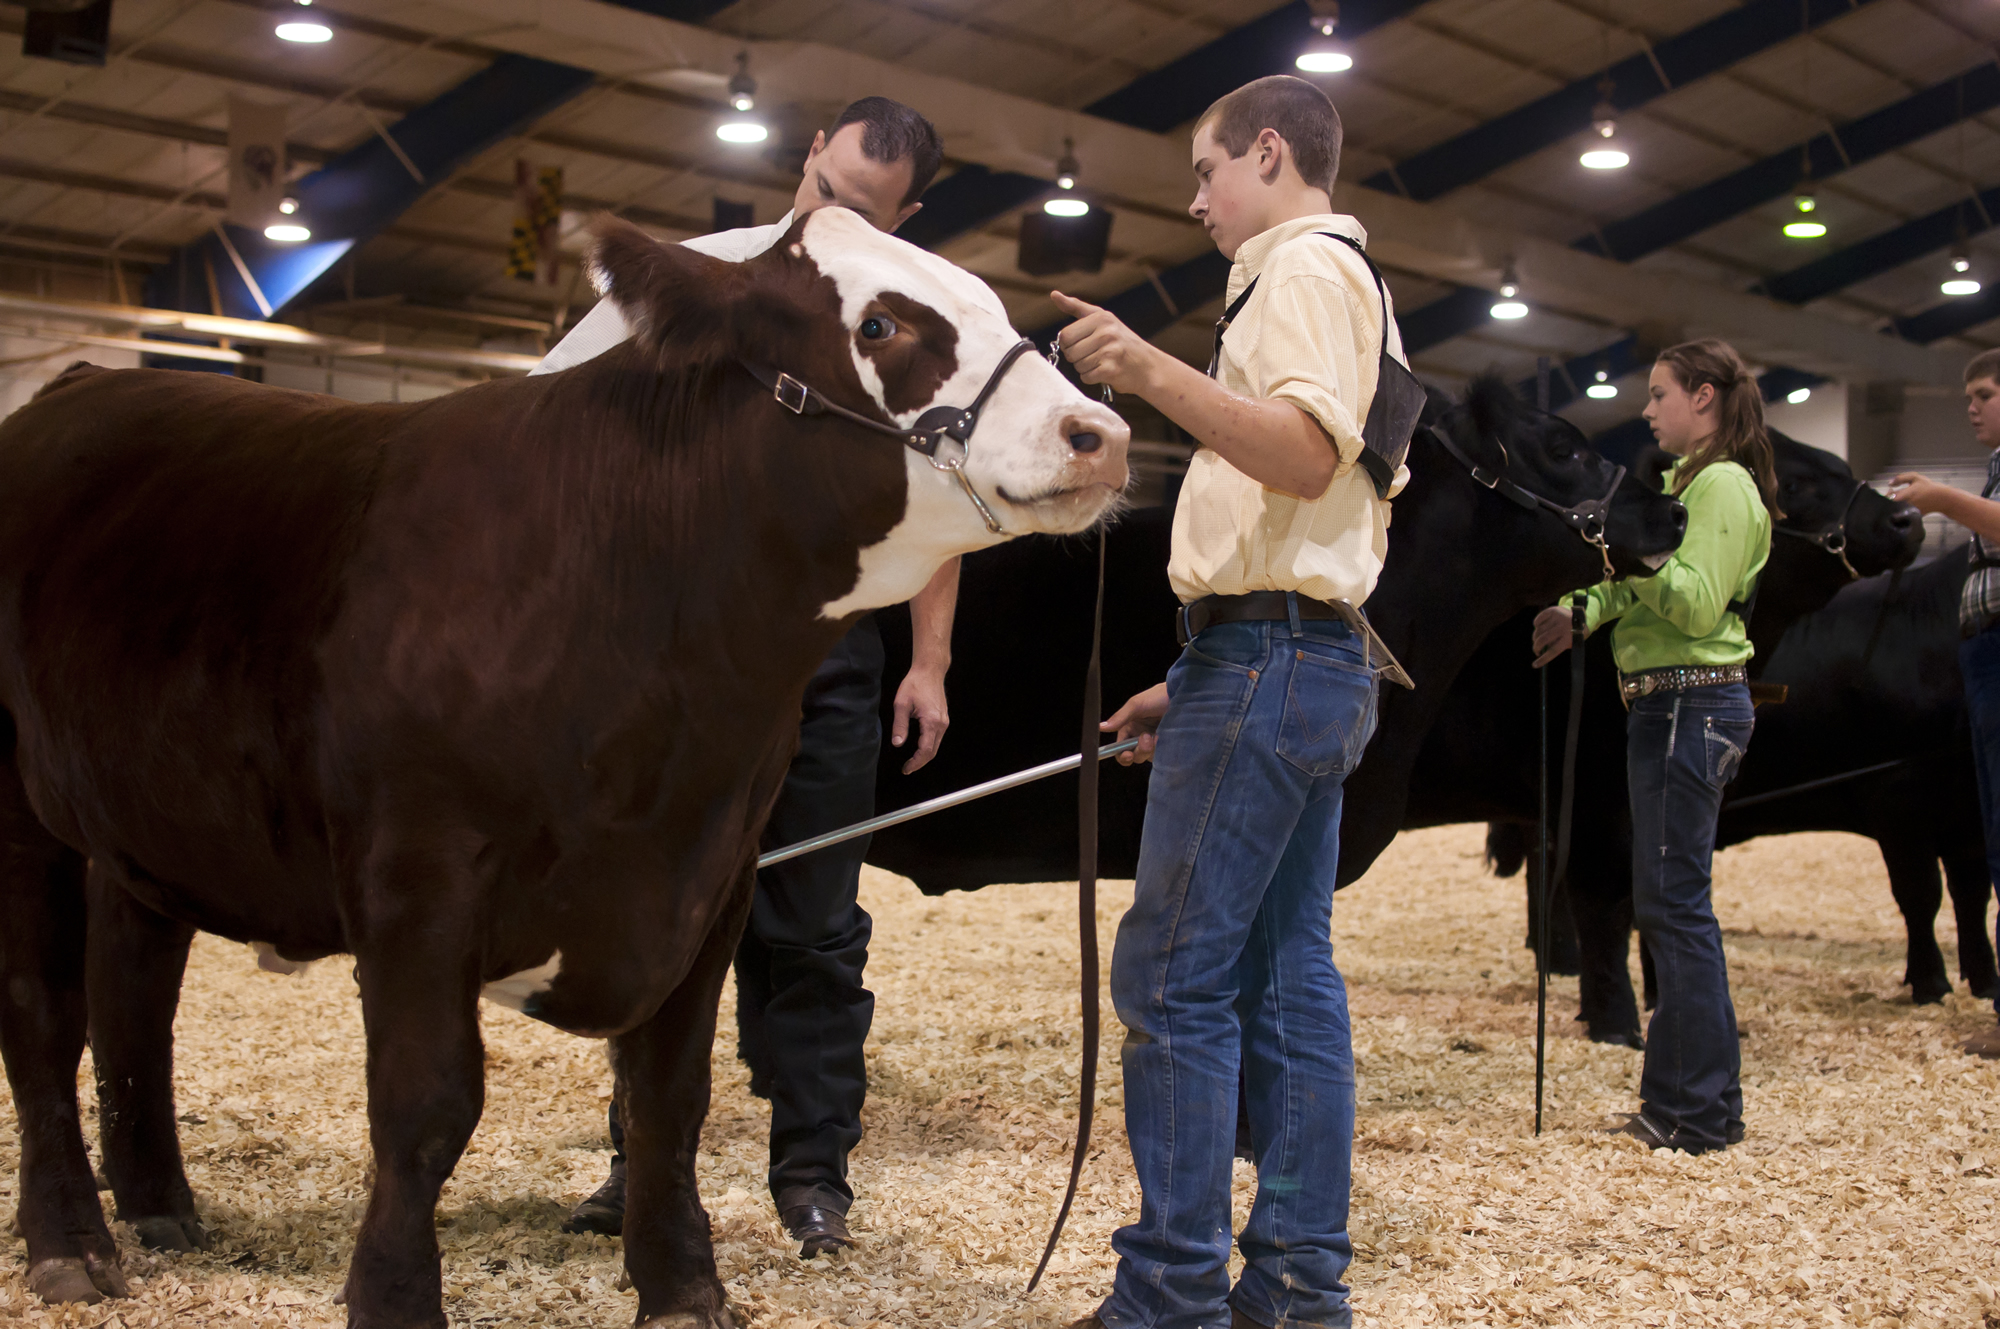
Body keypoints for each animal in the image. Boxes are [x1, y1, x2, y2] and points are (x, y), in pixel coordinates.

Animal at [0, 208, 1127, 1327]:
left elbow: (670, 1095)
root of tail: (80, 381)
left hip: (148, 820)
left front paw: (681, 1289)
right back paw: (71, 1244)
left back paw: (160, 1205)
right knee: (46, 1015)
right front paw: (395, 1299)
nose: (1102, 436)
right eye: (882, 324)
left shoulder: (715, 873)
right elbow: (427, 1105)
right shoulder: (417, 874)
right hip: (21, 807)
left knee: (135, 995)